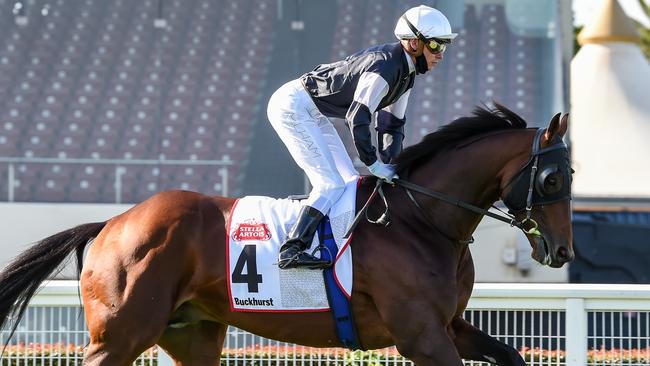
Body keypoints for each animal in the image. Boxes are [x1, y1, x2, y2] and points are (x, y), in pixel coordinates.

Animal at [0, 104, 568, 364]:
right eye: (551, 178)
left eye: (571, 174)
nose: (561, 250)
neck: (421, 219)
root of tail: (113, 224)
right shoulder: (421, 336)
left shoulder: (448, 325)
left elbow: (513, 355)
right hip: (121, 334)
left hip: (191, 334)